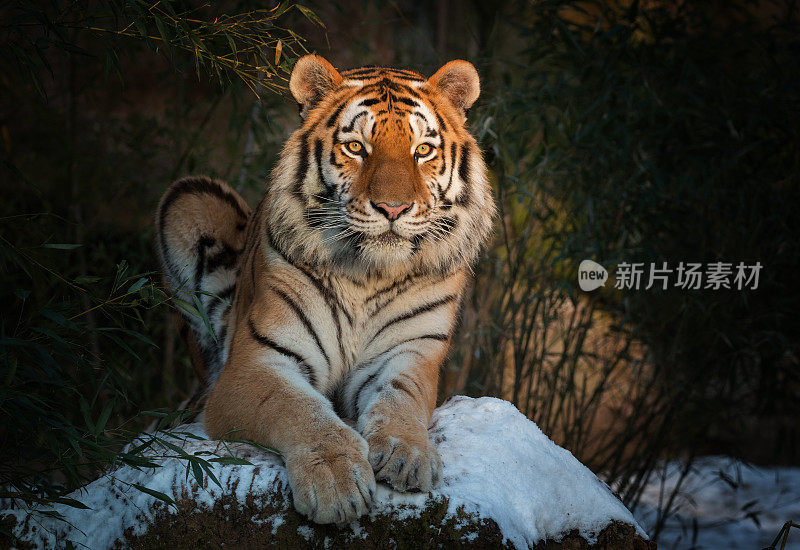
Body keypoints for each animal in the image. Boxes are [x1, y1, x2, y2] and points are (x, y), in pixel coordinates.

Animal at [155, 56, 494, 528]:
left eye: (423, 150)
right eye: (356, 148)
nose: (392, 208)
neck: (369, 275)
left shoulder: (411, 352)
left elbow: (401, 399)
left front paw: (407, 454)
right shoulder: (255, 364)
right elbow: (299, 410)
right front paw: (336, 481)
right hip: (188, 197)